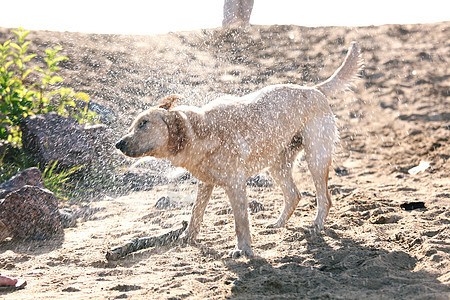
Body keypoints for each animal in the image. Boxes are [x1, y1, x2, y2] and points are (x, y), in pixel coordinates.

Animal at [116, 42, 362, 258]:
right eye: (132, 126)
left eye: (143, 123)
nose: (118, 143)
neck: (201, 131)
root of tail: (312, 89)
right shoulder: (205, 183)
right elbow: (196, 212)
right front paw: (187, 237)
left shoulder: (235, 184)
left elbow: (240, 222)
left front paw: (243, 250)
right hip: (278, 165)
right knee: (294, 195)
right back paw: (277, 224)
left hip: (316, 158)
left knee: (324, 198)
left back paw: (316, 225)